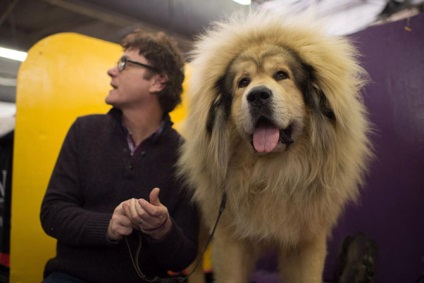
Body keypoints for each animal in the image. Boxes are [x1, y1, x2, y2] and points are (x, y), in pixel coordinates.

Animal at [177, 11, 372, 283]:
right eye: (243, 82)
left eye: (281, 75)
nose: (257, 95)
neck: (273, 173)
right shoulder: (228, 240)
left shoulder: (307, 240)